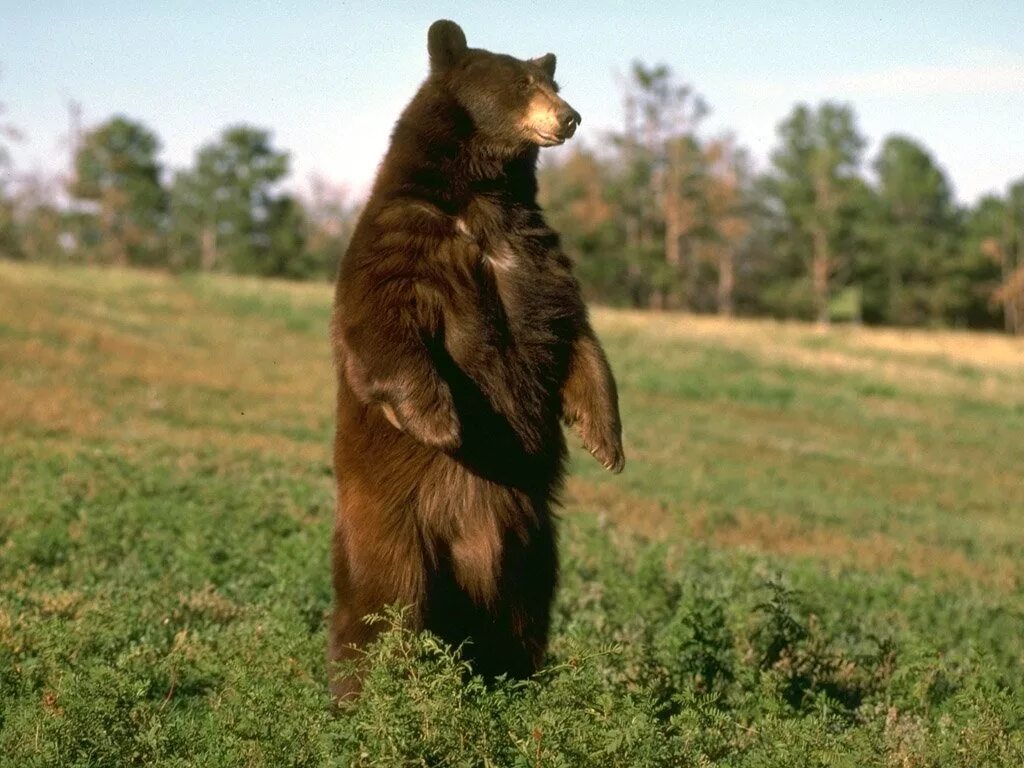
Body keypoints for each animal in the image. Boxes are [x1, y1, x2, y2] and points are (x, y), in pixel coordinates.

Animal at [325, 19, 622, 704]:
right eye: (521, 84)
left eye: (552, 81)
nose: (570, 116)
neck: (484, 196)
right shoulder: (406, 239)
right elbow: (381, 323)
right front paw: (442, 421)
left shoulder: (536, 254)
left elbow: (574, 333)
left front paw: (606, 440)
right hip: (396, 526)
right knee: (385, 604)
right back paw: (365, 690)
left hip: (532, 543)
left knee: (520, 614)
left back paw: (516, 682)